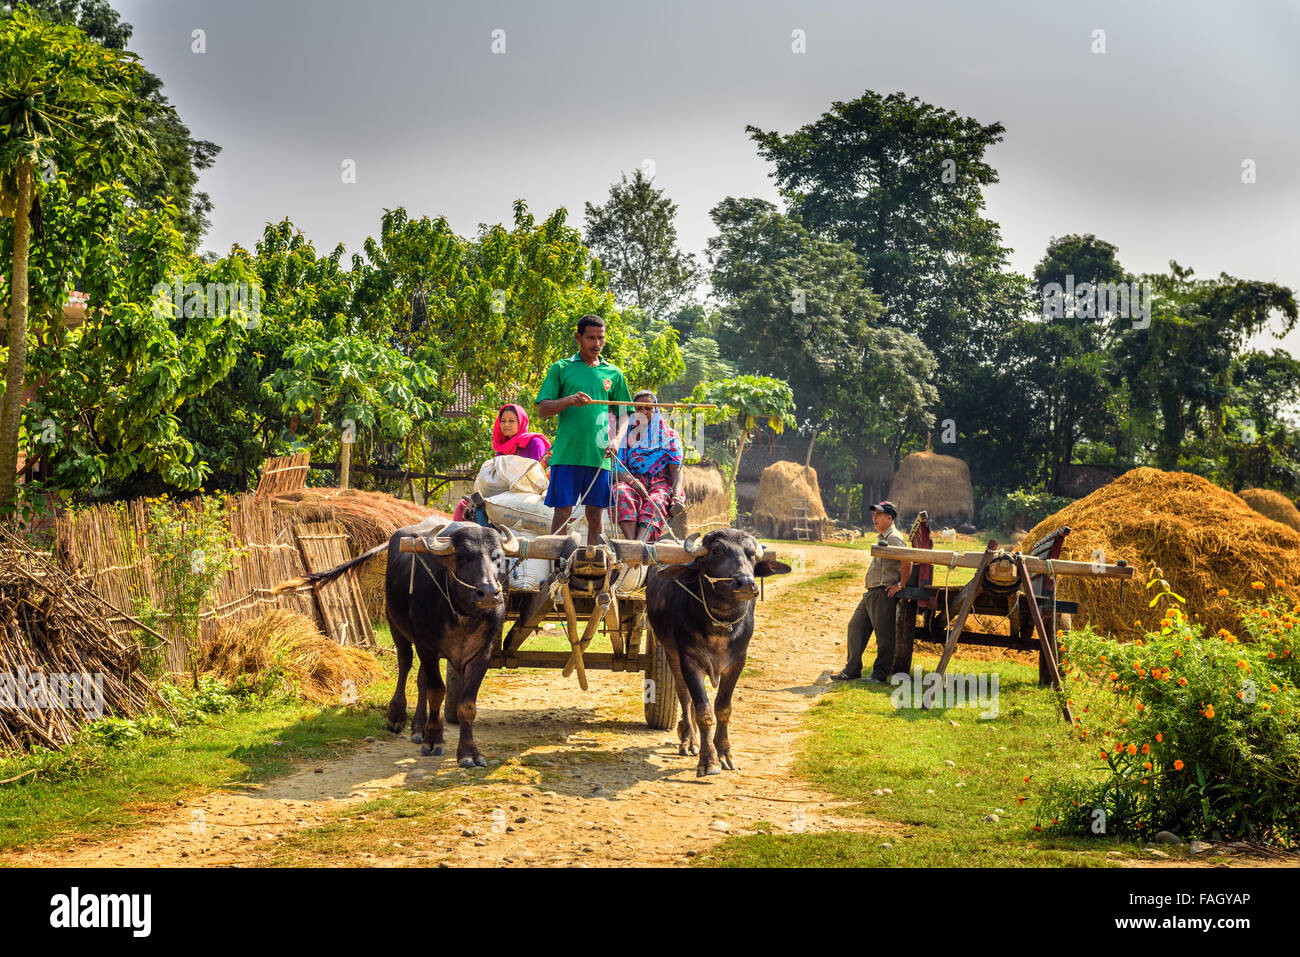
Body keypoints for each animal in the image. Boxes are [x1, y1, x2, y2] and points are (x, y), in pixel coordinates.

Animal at [642, 527, 785, 780]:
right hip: (669, 651)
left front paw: (725, 753)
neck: (720, 623)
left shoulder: (738, 661)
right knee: (684, 695)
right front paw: (709, 760)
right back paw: (688, 739)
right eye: (717, 550)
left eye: (751, 554)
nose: (746, 583)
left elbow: (723, 708)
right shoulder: (689, 660)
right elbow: (704, 709)